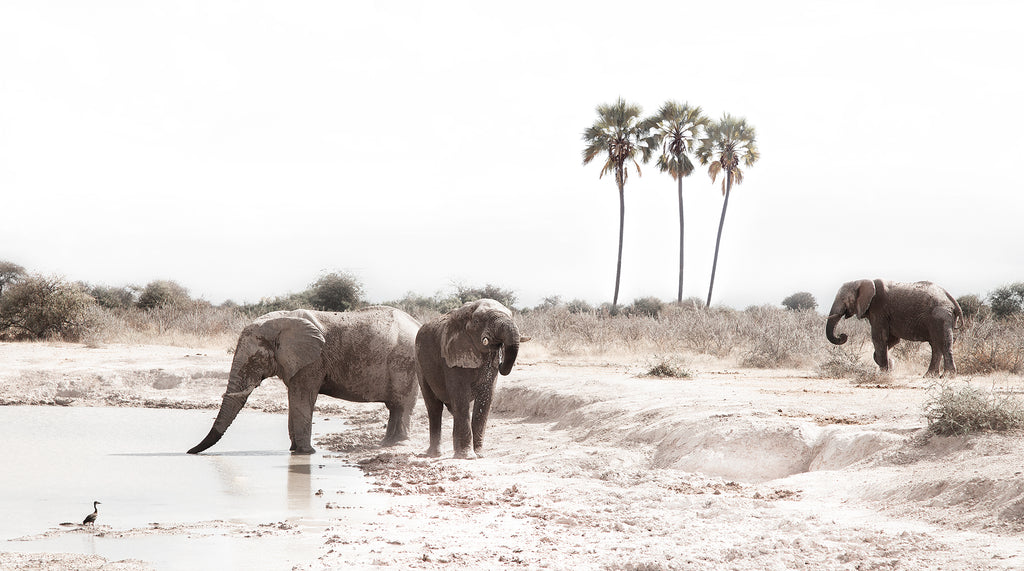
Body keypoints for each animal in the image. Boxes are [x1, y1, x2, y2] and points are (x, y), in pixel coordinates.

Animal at [188, 306, 421, 455]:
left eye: (254, 359)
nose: (189, 451)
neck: (281, 321)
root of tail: (417, 323)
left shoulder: (312, 361)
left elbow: (302, 398)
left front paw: (306, 453)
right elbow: (294, 399)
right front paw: (295, 451)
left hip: (405, 362)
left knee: (401, 405)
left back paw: (398, 444)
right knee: (395, 407)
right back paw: (387, 443)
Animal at [415, 299, 525, 459]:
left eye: (511, 316)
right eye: (478, 321)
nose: (500, 362)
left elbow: (486, 397)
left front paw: (479, 455)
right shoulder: (452, 356)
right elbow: (461, 396)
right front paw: (468, 457)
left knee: (452, 408)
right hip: (419, 363)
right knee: (434, 406)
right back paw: (434, 454)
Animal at [825, 279, 964, 377]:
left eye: (843, 299)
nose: (843, 335)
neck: (862, 281)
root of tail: (952, 300)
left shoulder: (879, 309)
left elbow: (879, 338)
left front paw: (884, 372)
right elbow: (892, 340)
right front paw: (890, 365)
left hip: (941, 315)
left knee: (944, 342)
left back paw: (947, 376)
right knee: (936, 344)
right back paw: (930, 376)